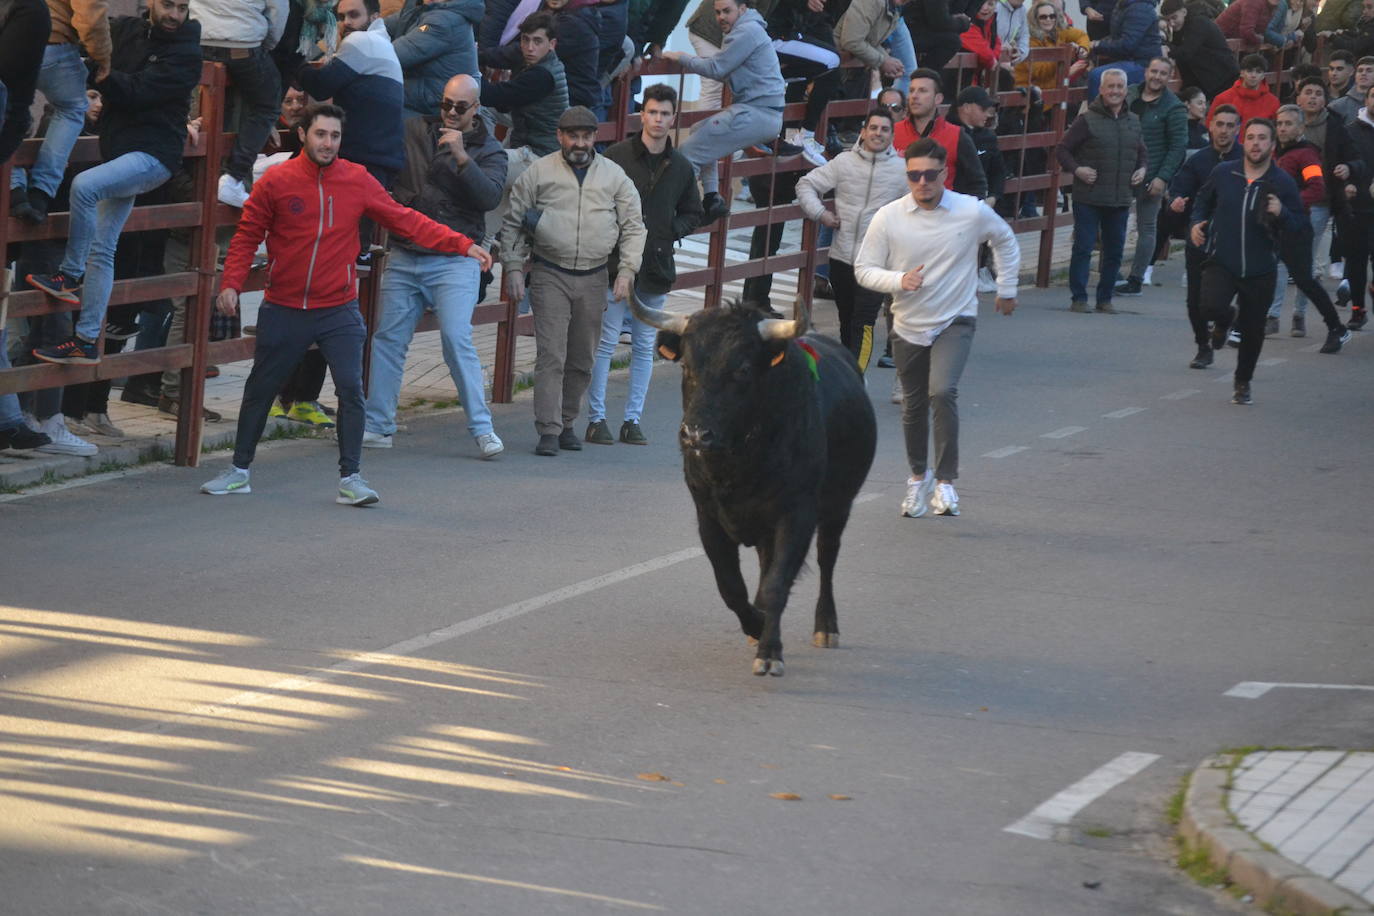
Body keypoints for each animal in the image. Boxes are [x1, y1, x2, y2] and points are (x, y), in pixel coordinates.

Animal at [632, 298, 879, 678]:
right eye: (687, 365)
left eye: (743, 369)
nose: (695, 435)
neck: (740, 463)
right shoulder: (708, 519)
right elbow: (732, 587)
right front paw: (756, 626)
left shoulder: (797, 516)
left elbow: (777, 585)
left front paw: (770, 651)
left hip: (839, 507)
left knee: (827, 560)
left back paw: (826, 627)